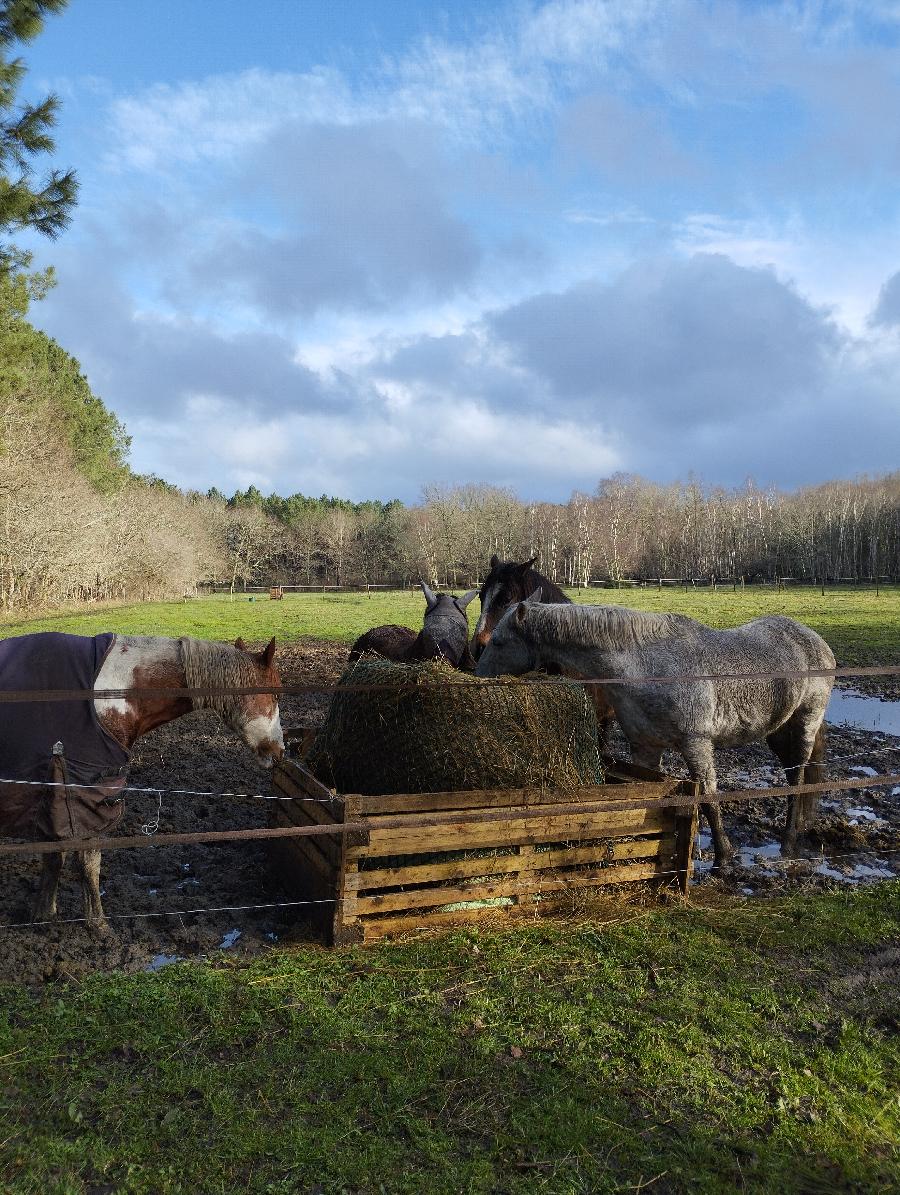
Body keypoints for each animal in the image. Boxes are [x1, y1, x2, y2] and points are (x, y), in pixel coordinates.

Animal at [473, 597, 831, 869]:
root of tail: (815, 641)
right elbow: (645, 797)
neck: (648, 667)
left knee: (798, 779)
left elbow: (710, 799)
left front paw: (724, 857)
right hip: (778, 732)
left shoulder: (696, 744)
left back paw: (788, 841)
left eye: (499, 642)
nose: (475, 676)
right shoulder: (644, 748)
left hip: (804, 724)